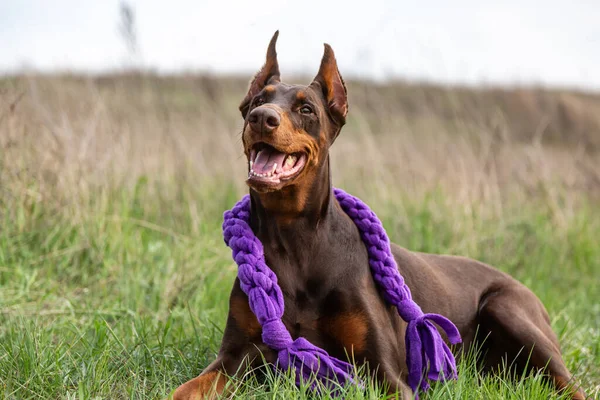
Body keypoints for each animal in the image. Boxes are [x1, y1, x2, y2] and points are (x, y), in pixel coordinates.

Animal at [171, 32, 588, 400]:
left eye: (306, 108)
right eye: (259, 99)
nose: (261, 118)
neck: (294, 239)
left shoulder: (384, 371)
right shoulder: (234, 357)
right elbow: (185, 389)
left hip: (508, 308)